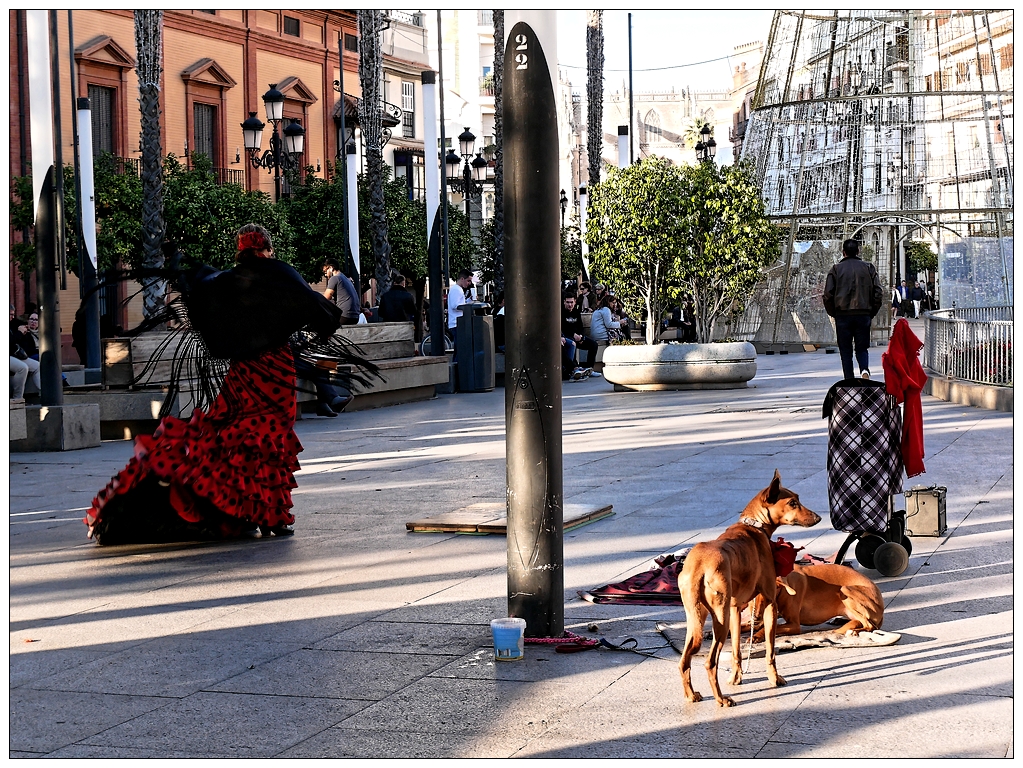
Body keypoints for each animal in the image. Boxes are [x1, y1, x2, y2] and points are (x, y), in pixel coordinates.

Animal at [679, 468, 822, 707]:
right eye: (793, 503)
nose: (819, 518)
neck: (754, 526)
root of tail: (699, 565)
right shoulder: (770, 604)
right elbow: (770, 650)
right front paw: (774, 679)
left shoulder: (736, 609)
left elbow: (737, 650)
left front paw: (736, 678)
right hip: (720, 617)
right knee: (710, 663)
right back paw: (721, 699)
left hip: (697, 617)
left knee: (684, 661)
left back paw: (692, 695)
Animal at [752, 564, 887, 642]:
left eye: (767, 598)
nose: (756, 617)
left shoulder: (794, 624)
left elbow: (771, 627)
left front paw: (756, 636)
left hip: (845, 590)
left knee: (870, 626)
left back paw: (855, 631)